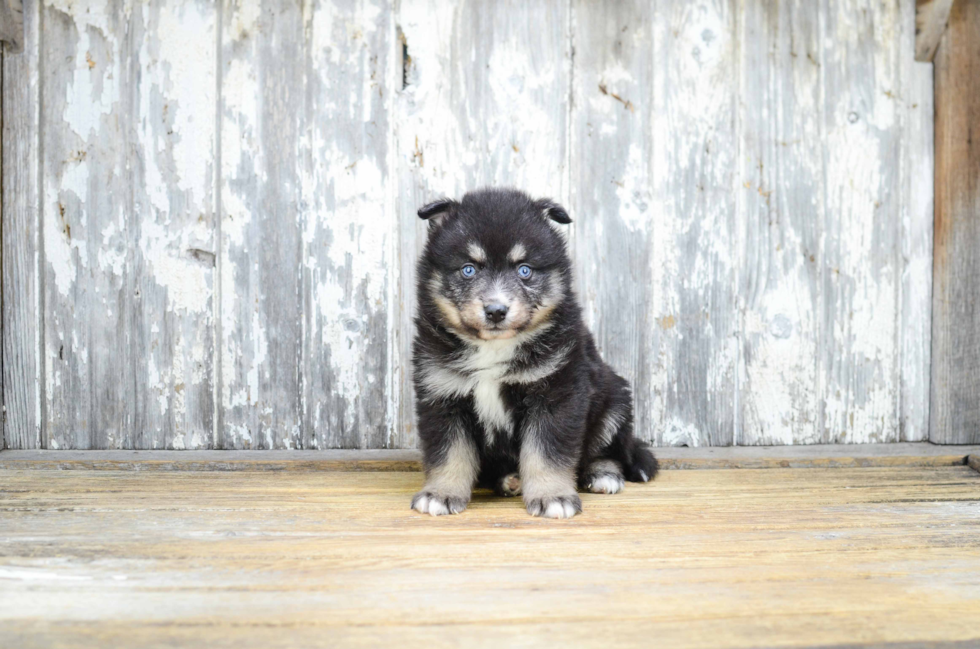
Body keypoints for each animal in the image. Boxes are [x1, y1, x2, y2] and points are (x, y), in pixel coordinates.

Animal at [408, 186, 660, 516]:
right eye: (468, 269)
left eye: (524, 270)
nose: (496, 310)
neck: (493, 347)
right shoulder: (443, 395)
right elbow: (450, 453)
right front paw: (441, 493)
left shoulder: (556, 393)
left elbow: (546, 452)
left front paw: (553, 496)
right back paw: (508, 479)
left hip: (614, 400)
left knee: (608, 450)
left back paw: (603, 474)